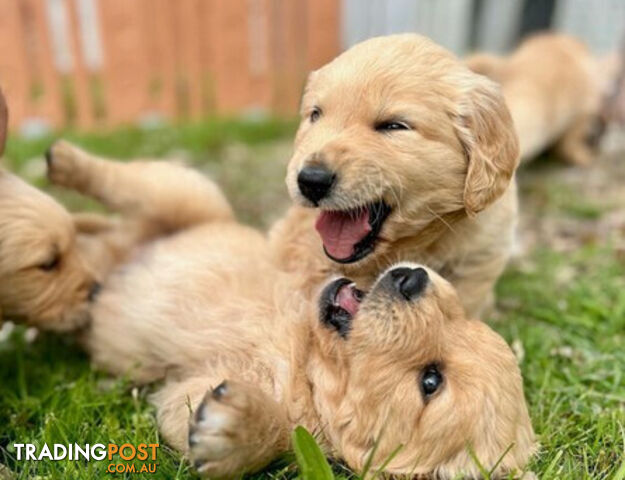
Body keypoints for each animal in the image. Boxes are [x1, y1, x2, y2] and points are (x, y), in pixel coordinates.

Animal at [40, 144, 532, 478]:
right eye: (457, 315)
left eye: (431, 381)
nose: (412, 278)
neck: (305, 358)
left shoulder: (190, 390)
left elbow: (269, 432)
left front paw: (239, 430)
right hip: (192, 202)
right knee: (137, 182)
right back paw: (64, 160)